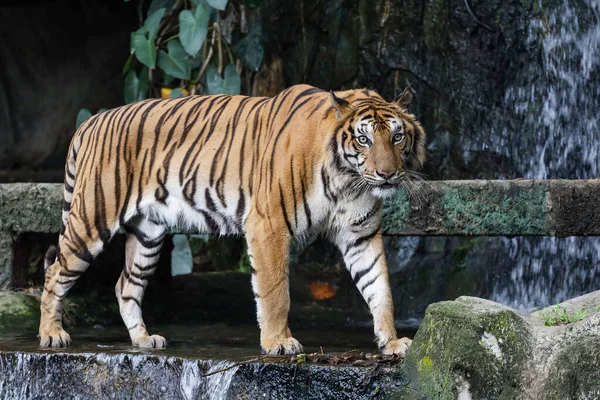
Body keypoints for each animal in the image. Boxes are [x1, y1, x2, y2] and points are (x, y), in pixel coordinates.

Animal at [39, 84, 426, 356]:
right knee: (55, 272)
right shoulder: (269, 225)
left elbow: (380, 288)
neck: (347, 181)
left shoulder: (360, 235)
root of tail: (91, 121)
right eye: (362, 139)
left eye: (397, 136)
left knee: (126, 285)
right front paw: (278, 342)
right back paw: (51, 334)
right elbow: (275, 291)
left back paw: (144, 340)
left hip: (148, 234)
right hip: (92, 220)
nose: (387, 175)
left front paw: (392, 342)